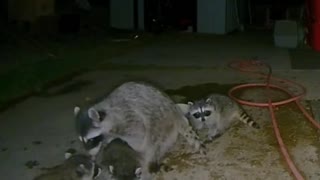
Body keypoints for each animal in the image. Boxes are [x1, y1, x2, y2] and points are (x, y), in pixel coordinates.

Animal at [74, 82, 205, 180]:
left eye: (90, 140)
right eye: (82, 140)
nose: (90, 156)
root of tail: (176, 113)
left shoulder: (128, 119)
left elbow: (138, 136)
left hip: (162, 126)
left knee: (151, 146)